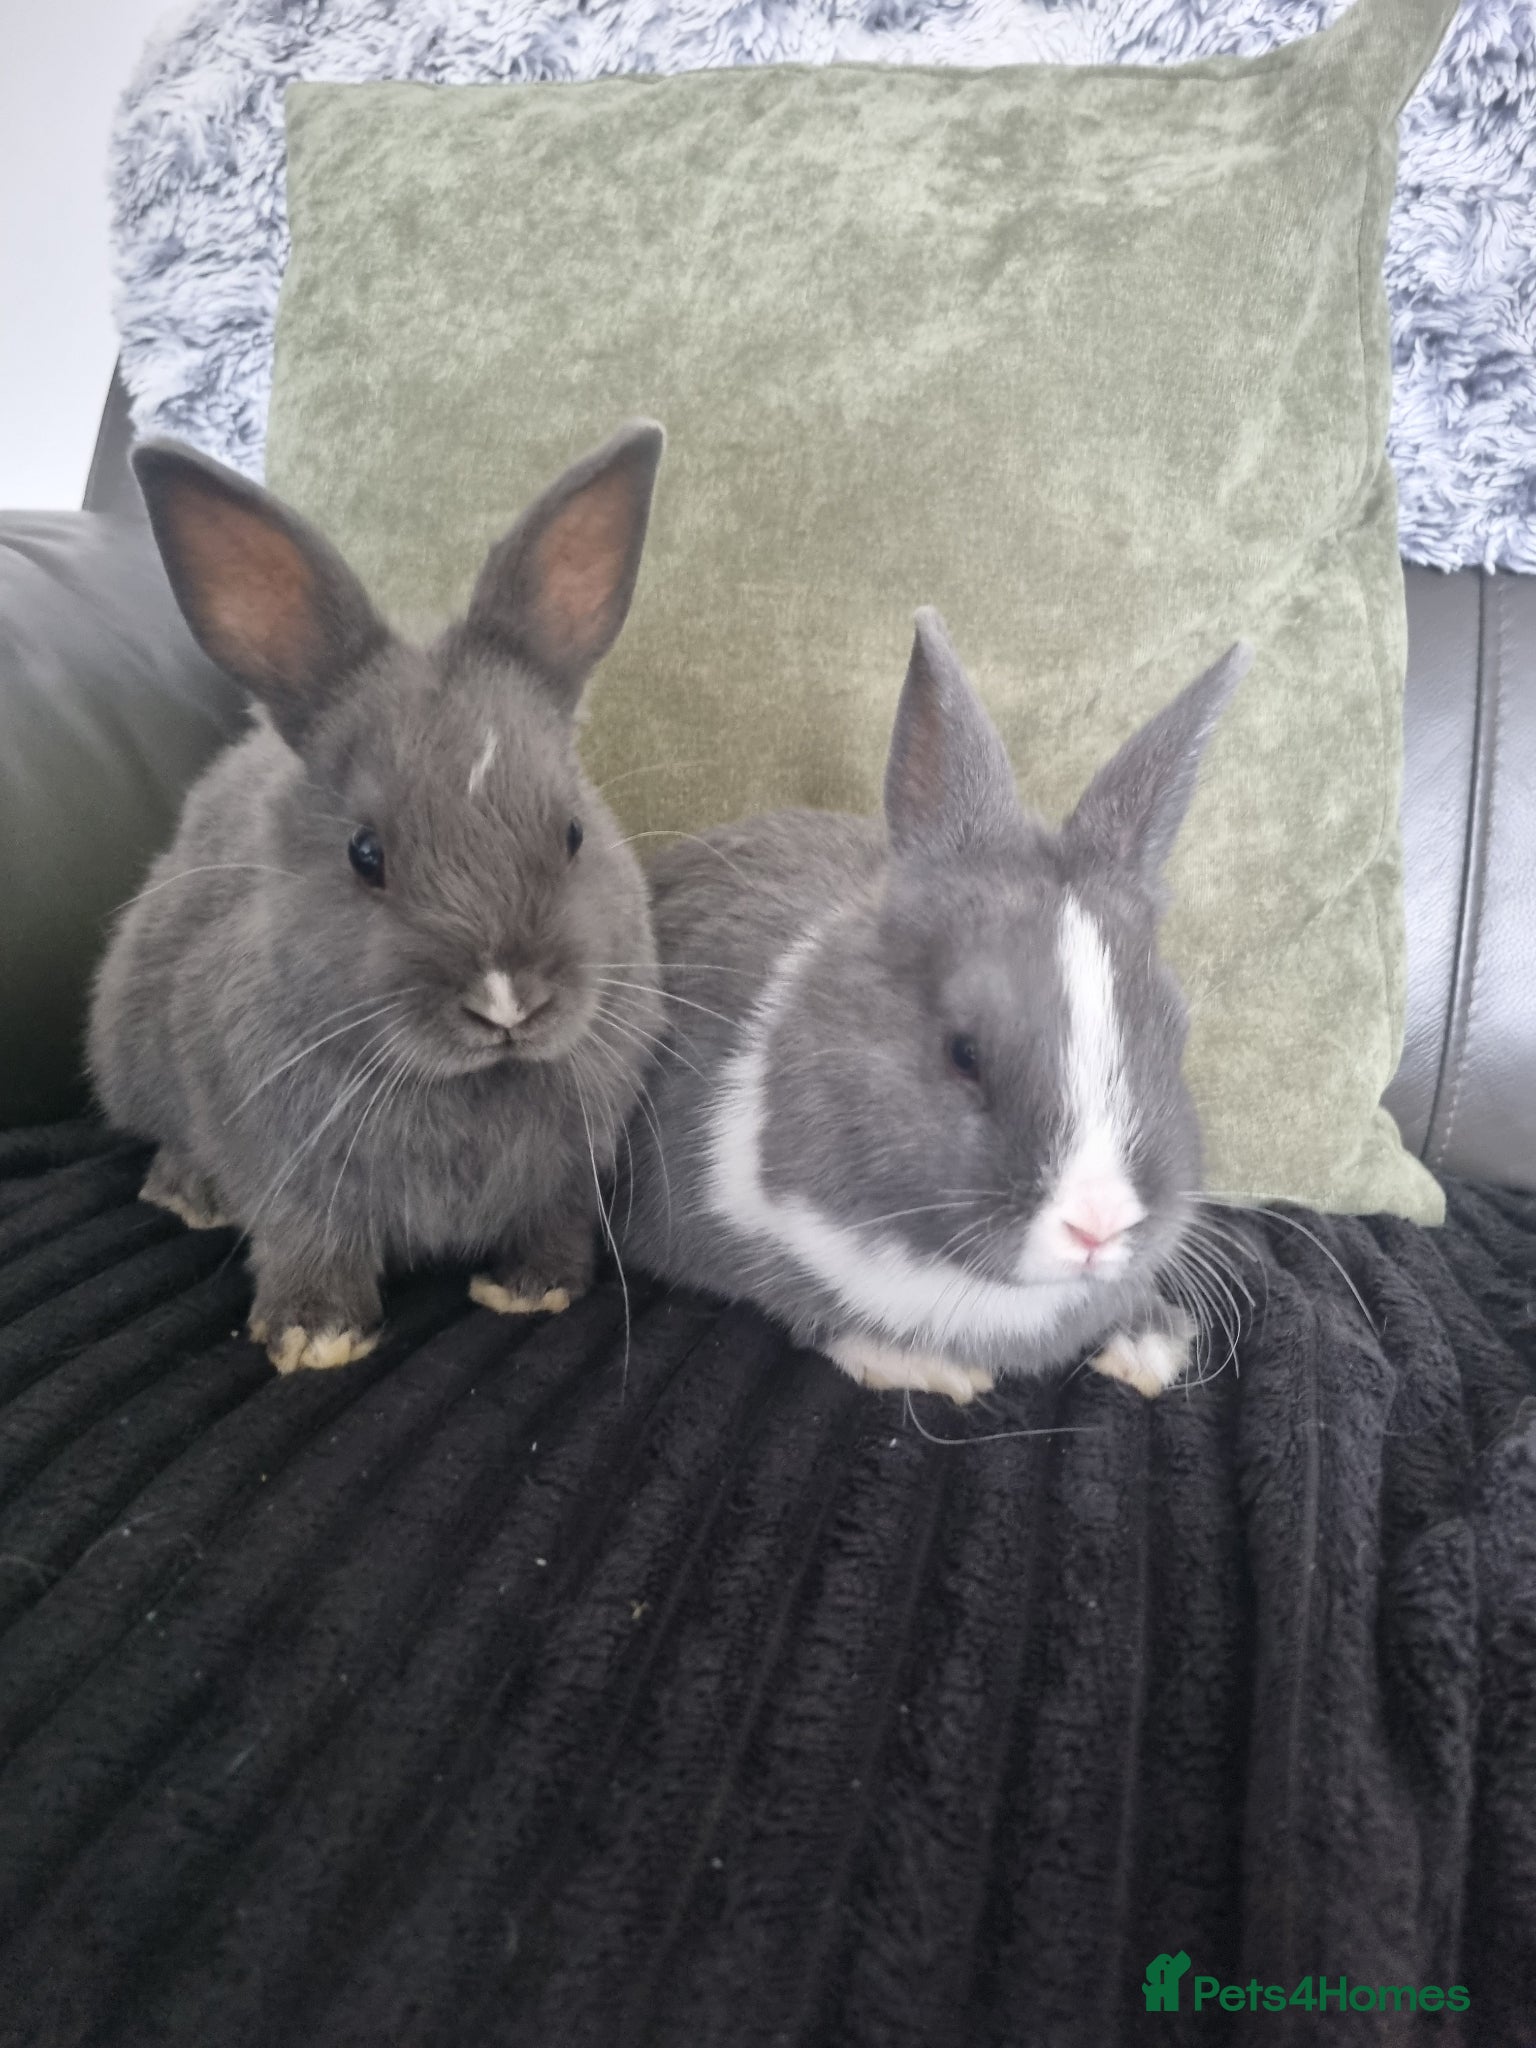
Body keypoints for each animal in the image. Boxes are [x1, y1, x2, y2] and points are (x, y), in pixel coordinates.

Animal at [89, 421, 666, 1374]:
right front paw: (316, 1337)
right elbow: (308, 1243)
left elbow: (552, 1228)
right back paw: (190, 1193)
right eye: (366, 854)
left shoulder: (567, 1178)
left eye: (574, 833)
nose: (507, 1002)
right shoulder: (290, 1177)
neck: (471, 1084)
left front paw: (533, 1290)